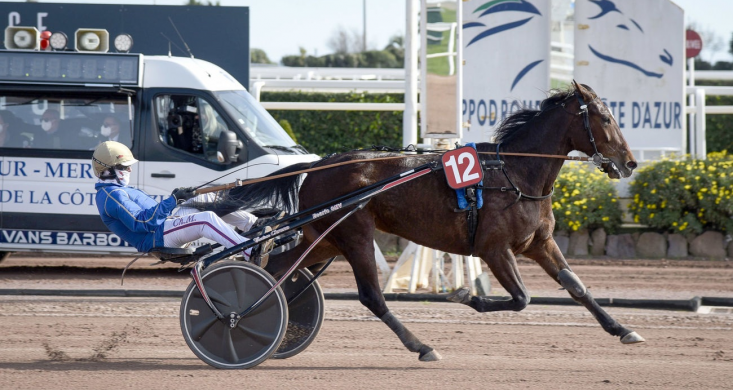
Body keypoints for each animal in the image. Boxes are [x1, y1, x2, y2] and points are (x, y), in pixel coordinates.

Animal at [197, 81, 636, 362]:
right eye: (604, 118)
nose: (629, 163)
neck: (514, 172)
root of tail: (319, 165)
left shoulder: (539, 243)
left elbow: (576, 287)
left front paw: (623, 329)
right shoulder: (495, 249)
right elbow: (521, 298)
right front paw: (465, 296)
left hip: (324, 237)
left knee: (275, 274)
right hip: (355, 234)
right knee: (371, 297)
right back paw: (421, 346)